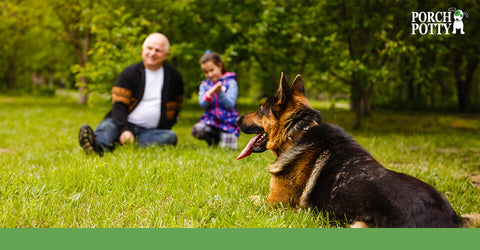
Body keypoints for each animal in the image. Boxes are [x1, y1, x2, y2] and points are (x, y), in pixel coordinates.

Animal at [236, 73, 480, 228]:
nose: (236, 118)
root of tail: (451, 221)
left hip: (357, 225)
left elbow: (247, 198)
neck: (297, 133)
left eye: (259, 110)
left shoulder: (275, 204)